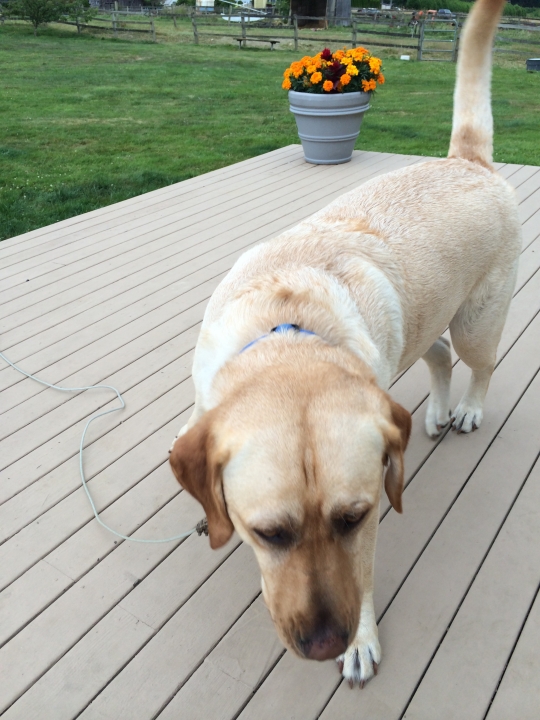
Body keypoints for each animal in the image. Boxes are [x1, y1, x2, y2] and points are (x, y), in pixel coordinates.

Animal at [171, 0, 520, 688]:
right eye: (267, 533)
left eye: (352, 518)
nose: (326, 644)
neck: (288, 329)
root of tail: (467, 161)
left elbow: (361, 574)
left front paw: (362, 641)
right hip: (421, 320)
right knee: (437, 355)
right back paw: (437, 412)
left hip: (476, 319)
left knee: (479, 363)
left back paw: (466, 409)